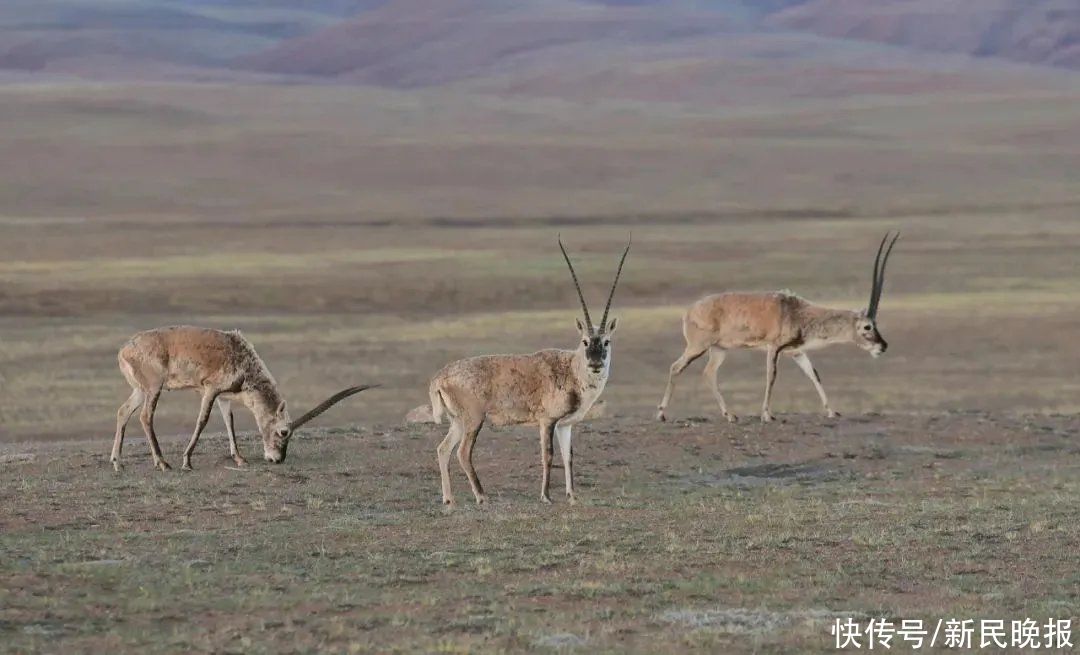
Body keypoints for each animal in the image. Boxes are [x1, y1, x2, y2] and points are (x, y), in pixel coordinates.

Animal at [112, 326, 375, 471]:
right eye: (283, 432)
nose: (276, 459)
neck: (241, 355)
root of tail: (124, 350)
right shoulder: (209, 390)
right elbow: (203, 421)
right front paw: (187, 461)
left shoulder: (223, 397)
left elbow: (229, 423)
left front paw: (239, 459)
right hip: (154, 388)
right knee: (145, 416)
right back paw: (163, 463)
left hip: (141, 390)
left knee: (123, 411)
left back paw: (118, 463)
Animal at [425, 235, 630, 508]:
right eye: (585, 341)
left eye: (606, 341)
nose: (595, 364)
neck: (571, 369)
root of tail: (440, 377)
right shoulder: (547, 421)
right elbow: (548, 455)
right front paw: (546, 496)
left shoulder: (565, 425)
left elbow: (568, 456)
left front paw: (572, 496)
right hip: (473, 420)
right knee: (462, 452)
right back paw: (481, 496)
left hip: (458, 421)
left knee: (443, 449)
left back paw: (449, 500)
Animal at [652, 233, 898, 423]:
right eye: (867, 327)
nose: (883, 346)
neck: (798, 312)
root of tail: (689, 311)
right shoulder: (774, 348)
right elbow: (771, 376)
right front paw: (767, 415)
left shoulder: (796, 352)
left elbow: (814, 375)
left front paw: (832, 411)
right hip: (698, 347)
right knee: (676, 367)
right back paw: (662, 414)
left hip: (719, 350)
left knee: (709, 373)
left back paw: (730, 415)